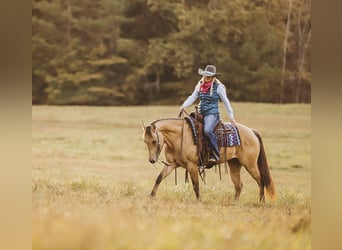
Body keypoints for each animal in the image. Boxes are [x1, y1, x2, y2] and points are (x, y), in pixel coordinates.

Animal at [142, 114, 276, 202]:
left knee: (260, 180)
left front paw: (199, 200)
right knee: (239, 185)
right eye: (145, 141)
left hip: (250, 164)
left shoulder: (192, 166)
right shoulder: (172, 164)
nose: (152, 160)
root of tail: (252, 131)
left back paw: (261, 201)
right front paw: (151, 196)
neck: (180, 136)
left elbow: (195, 184)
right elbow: (159, 178)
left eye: (154, 141)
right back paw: (235, 202)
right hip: (234, 164)